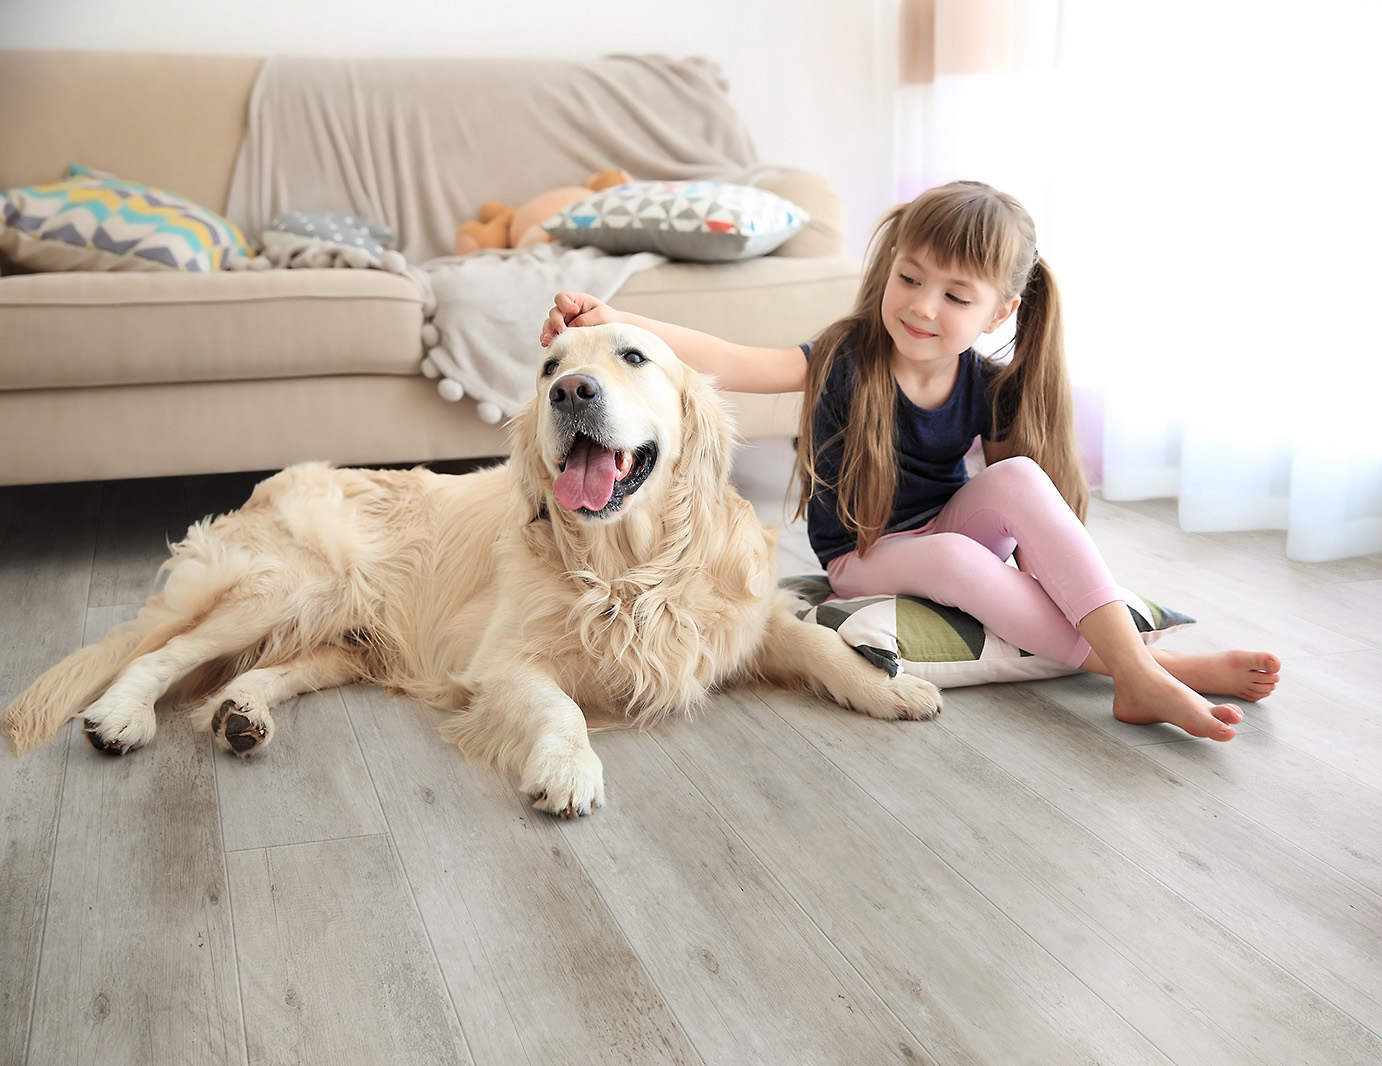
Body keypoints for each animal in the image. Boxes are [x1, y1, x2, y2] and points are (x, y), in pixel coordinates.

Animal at [0, 324, 939, 818]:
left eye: (634, 357)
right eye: (551, 366)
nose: (572, 393)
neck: (627, 569)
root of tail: (267, 484)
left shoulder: (733, 618)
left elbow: (813, 645)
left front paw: (889, 687)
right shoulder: (500, 662)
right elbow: (561, 706)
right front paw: (569, 768)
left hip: (342, 637)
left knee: (261, 670)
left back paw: (243, 715)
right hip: (288, 585)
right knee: (159, 655)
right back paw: (121, 717)